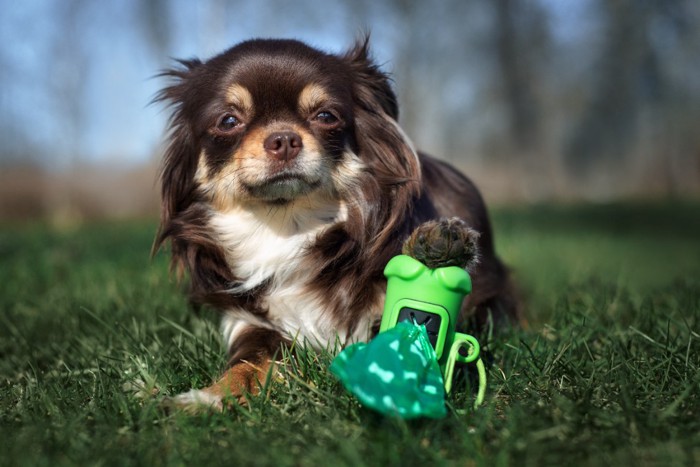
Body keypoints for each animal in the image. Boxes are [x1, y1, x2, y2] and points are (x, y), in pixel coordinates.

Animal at [154, 37, 520, 410]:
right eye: (228, 121)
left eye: (326, 116)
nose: (283, 139)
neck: (286, 227)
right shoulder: (248, 321)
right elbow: (248, 362)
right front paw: (210, 397)